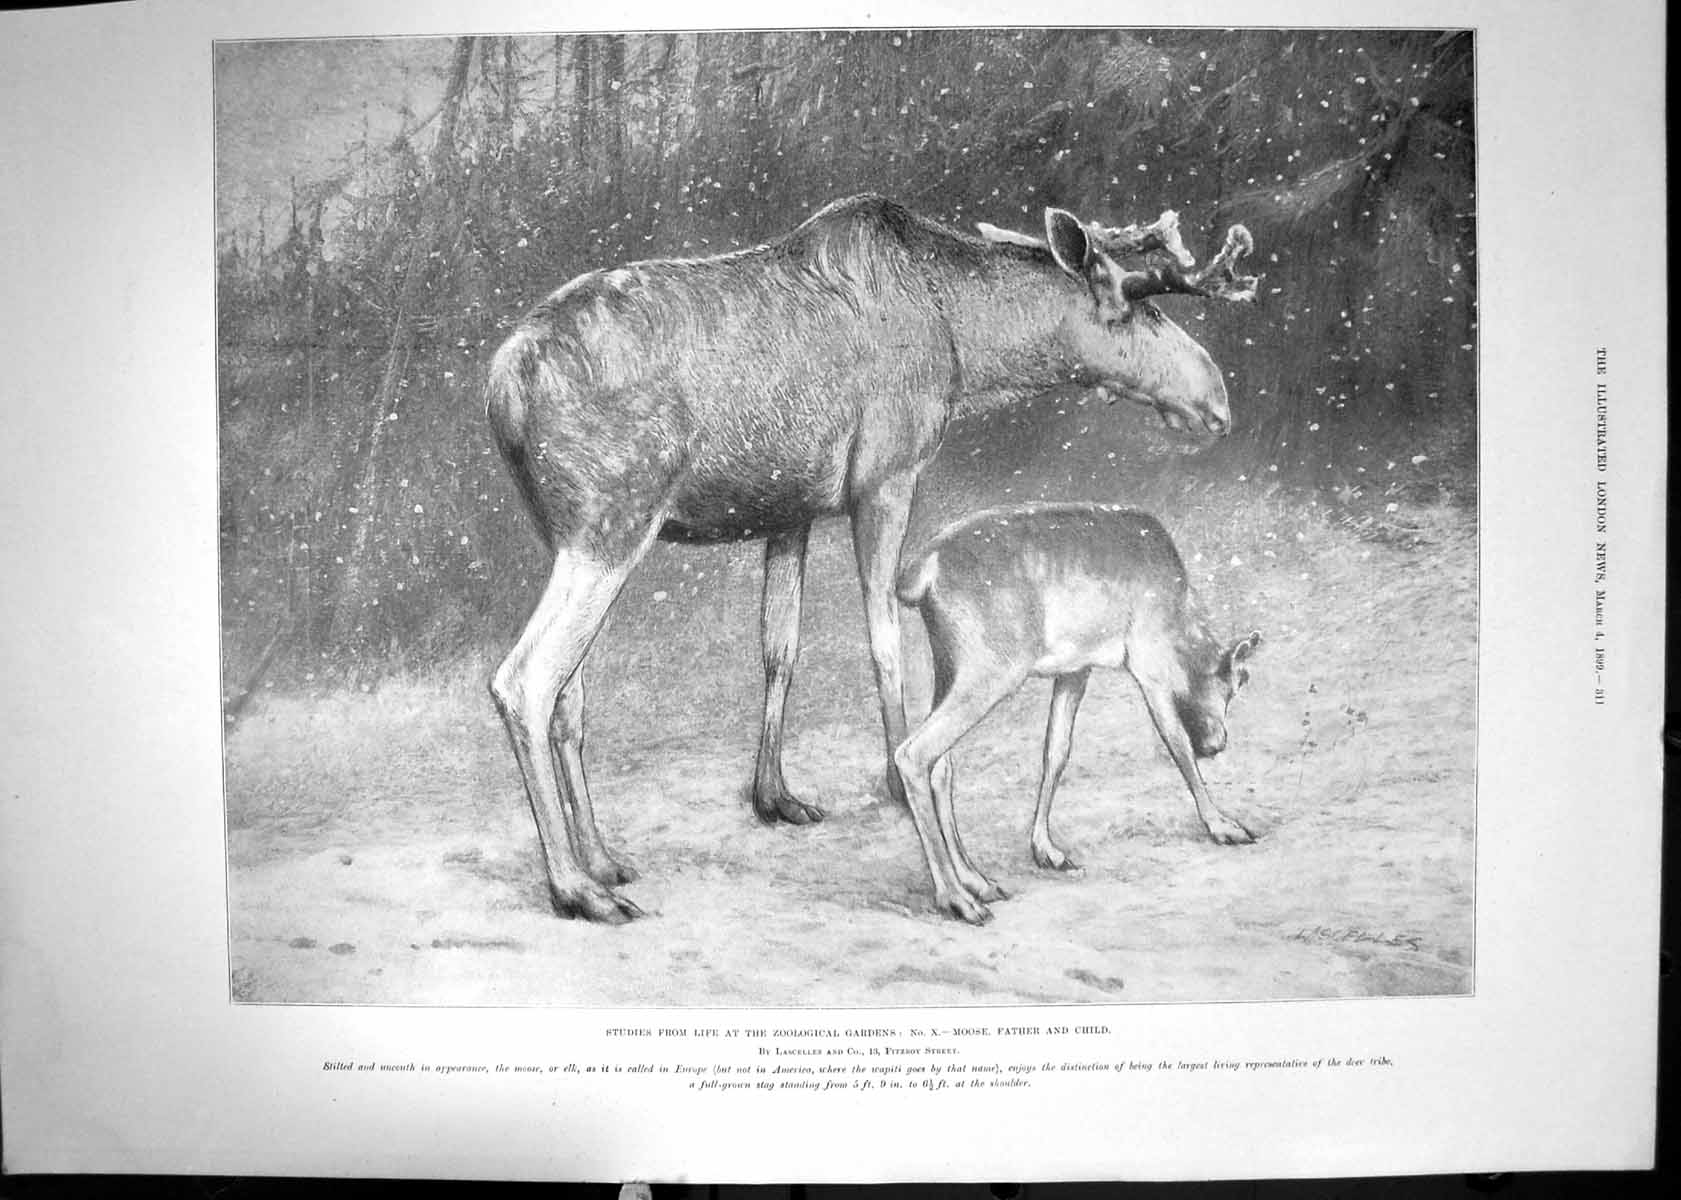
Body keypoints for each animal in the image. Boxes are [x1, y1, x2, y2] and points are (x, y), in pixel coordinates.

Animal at [892, 502, 1262, 924]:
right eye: (1236, 684)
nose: (1218, 744)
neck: (1181, 624)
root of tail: (920, 574)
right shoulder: (1147, 661)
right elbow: (1177, 745)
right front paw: (1225, 826)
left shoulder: (1075, 669)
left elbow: (1056, 751)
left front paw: (1046, 849)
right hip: (992, 667)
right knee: (913, 752)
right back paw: (957, 899)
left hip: (948, 663)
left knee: (942, 763)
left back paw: (978, 881)